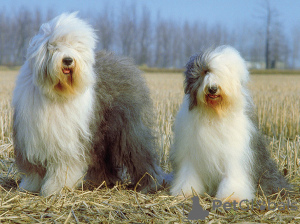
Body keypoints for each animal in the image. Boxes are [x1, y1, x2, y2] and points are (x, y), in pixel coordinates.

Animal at [12, 12, 164, 196]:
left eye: (75, 47)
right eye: (54, 46)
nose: (68, 60)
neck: (57, 92)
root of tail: (126, 63)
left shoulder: (67, 142)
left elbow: (63, 167)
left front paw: (55, 188)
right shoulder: (33, 138)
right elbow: (34, 169)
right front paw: (29, 186)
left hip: (129, 131)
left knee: (141, 156)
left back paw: (149, 185)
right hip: (102, 135)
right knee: (104, 160)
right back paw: (104, 182)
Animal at [171, 45, 290, 201]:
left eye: (223, 75)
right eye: (205, 72)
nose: (212, 88)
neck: (214, 114)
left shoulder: (234, 153)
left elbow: (233, 175)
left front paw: (232, 196)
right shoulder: (190, 151)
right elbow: (188, 173)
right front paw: (185, 191)